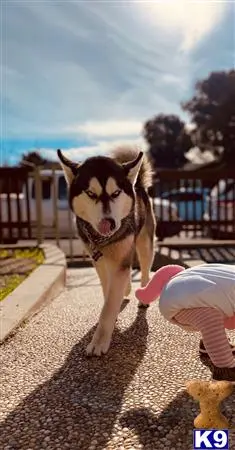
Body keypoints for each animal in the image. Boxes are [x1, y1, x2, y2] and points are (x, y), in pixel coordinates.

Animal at [57, 146, 156, 356]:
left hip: (144, 243)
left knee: (144, 268)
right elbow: (107, 290)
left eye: (116, 193)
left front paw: (99, 341)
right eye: (90, 193)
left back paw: (143, 294)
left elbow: (109, 305)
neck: (102, 240)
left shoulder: (120, 257)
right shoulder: (99, 260)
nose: (108, 223)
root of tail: (138, 184)